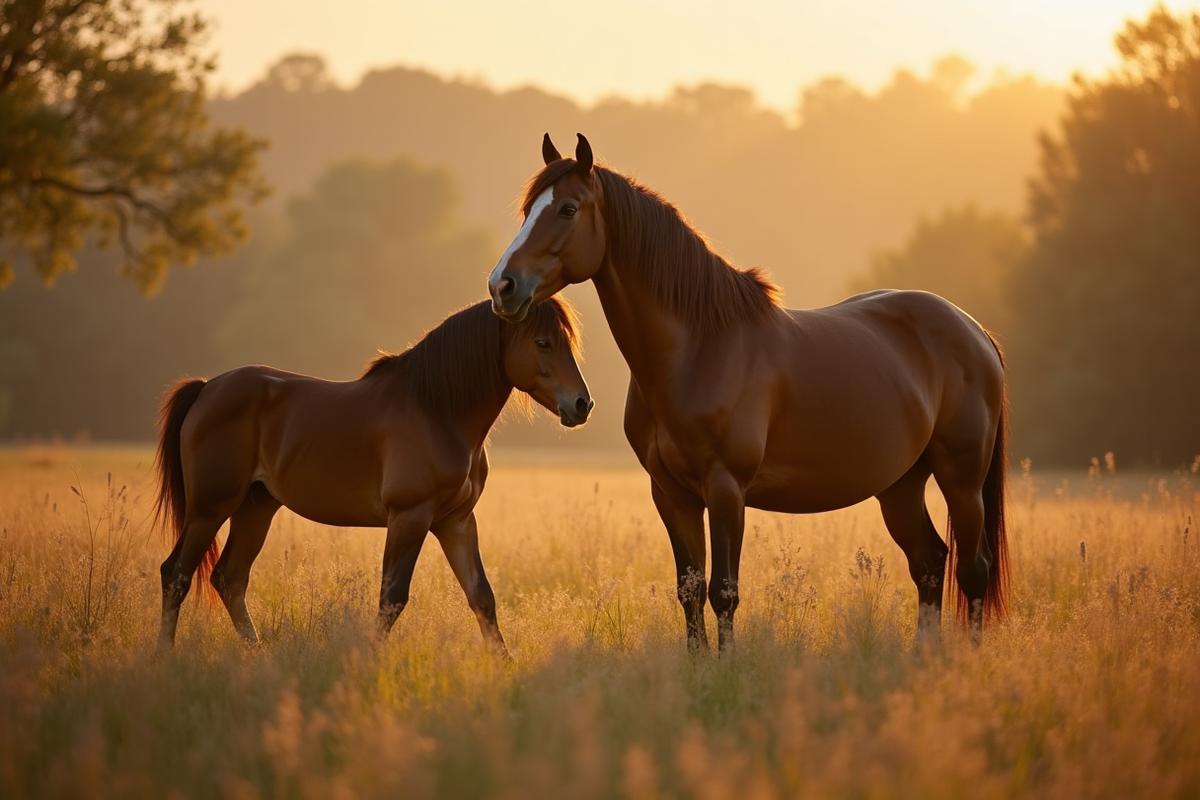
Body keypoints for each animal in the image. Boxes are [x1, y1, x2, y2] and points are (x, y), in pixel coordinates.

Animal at [154, 298, 591, 655]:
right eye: (543, 342)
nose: (582, 404)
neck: (437, 410)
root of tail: (207, 388)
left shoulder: (456, 522)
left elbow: (481, 596)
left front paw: (503, 665)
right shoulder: (410, 517)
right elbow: (392, 598)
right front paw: (370, 659)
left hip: (256, 508)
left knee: (230, 579)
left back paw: (257, 655)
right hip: (210, 509)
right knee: (176, 574)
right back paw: (165, 657)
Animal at [487, 133, 1008, 651]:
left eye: (568, 209)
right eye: (528, 209)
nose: (502, 286)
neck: (697, 351)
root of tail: (975, 331)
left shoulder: (726, 490)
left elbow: (724, 591)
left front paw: (728, 667)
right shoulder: (671, 494)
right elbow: (690, 590)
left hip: (961, 481)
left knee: (973, 568)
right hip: (900, 485)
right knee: (929, 562)